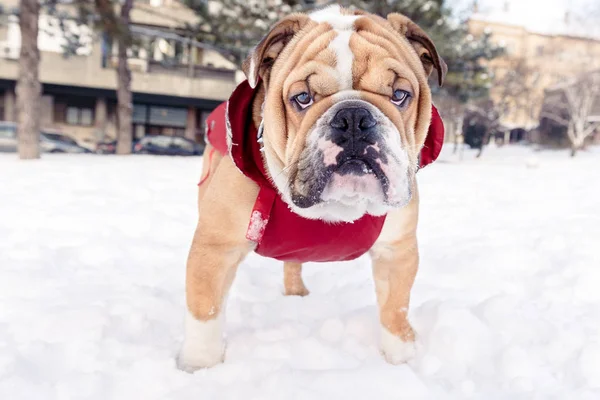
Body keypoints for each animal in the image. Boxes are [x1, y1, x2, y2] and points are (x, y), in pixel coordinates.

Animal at [177, 4, 446, 370]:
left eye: (400, 95)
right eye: (302, 98)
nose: (353, 118)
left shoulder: (397, 250)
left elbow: (395, 306)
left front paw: (400, 355)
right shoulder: (216, 248)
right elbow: (205, 310)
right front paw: (200, 366)